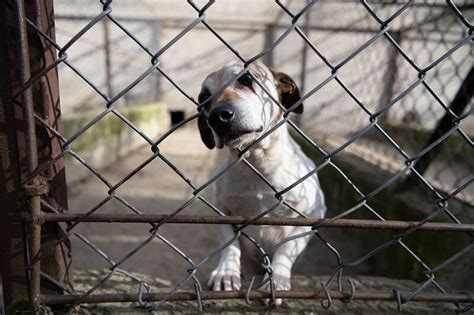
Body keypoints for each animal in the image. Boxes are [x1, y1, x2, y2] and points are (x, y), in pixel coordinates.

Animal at [196, 60, 326, 304]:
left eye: (246, 79)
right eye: (204, 98)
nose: (217, 117)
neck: (258, 164)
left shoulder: (311, 217)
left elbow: (285, 250)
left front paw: (277, 280)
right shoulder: (222, 211)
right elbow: (230, 244)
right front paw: (226, 272)